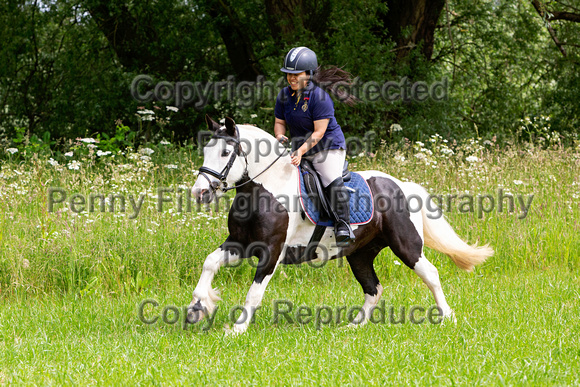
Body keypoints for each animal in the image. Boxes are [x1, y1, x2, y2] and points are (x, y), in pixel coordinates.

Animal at [189, 115, 494, 334]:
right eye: (205, 150)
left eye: (225, 152)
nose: (199, 193)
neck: (264, 190)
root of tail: (402, 185)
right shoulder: (240, 244)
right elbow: (209, 262)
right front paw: (197, 306)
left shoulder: (271, 252)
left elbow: (254, 292)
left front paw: (237, 329)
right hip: (360, 253)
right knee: (373, 288)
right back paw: (354, 326)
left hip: (406, 245)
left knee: (430, 274)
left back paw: (447, 317)